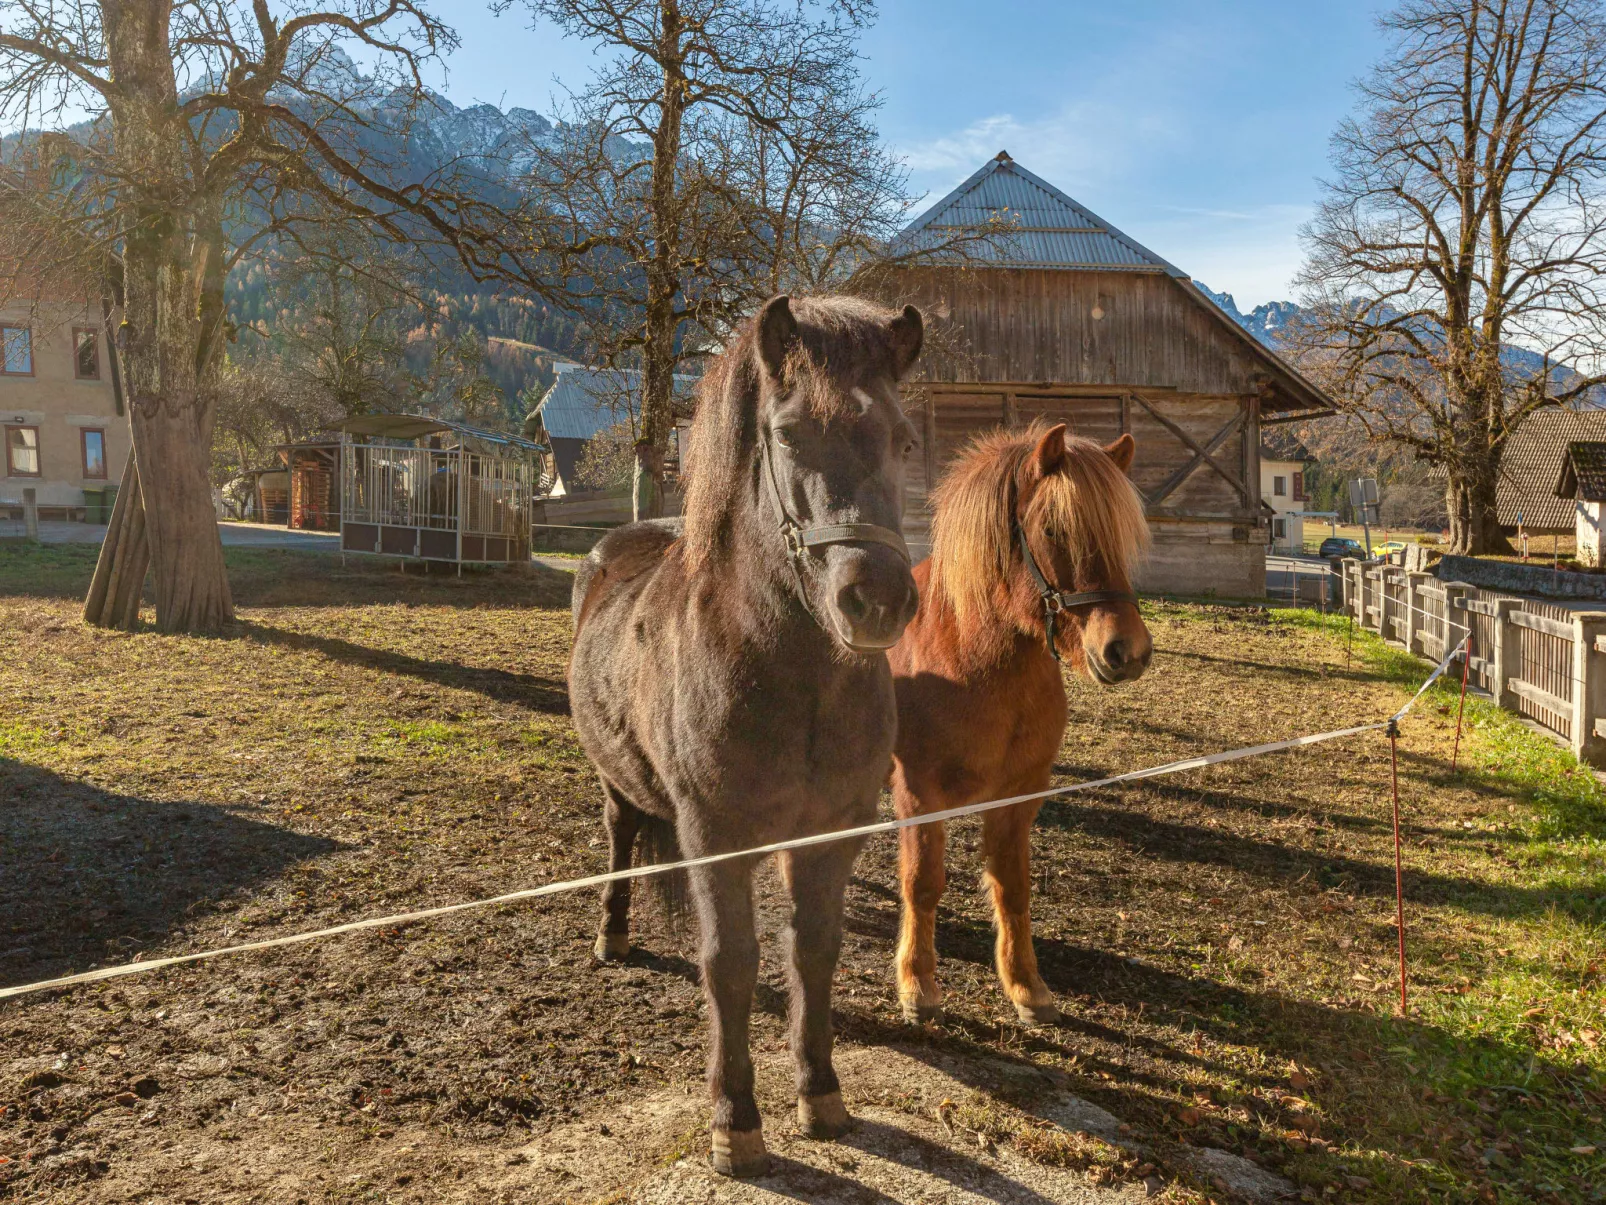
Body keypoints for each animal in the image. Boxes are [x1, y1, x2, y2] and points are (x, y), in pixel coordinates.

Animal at [568, 295, 925, 1182]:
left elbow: (814, 951)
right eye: (789, 434)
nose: (876, 598)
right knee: (620, 836)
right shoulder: (715, 834)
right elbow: (729, 963)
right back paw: (612, 934)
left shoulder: (831, 833)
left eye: (904, 439)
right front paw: (736, 1120)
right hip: (615, 781)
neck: (795, 681)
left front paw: (821, 1092)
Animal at [886, 420, 1149, 1028]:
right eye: (1053, 529)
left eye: (1122, 532)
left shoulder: (1018, 796)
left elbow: (1013, 887)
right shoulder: (918, 795)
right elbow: (922, 882)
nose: (1127, 651)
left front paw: (1026, 986)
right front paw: (917, 983)